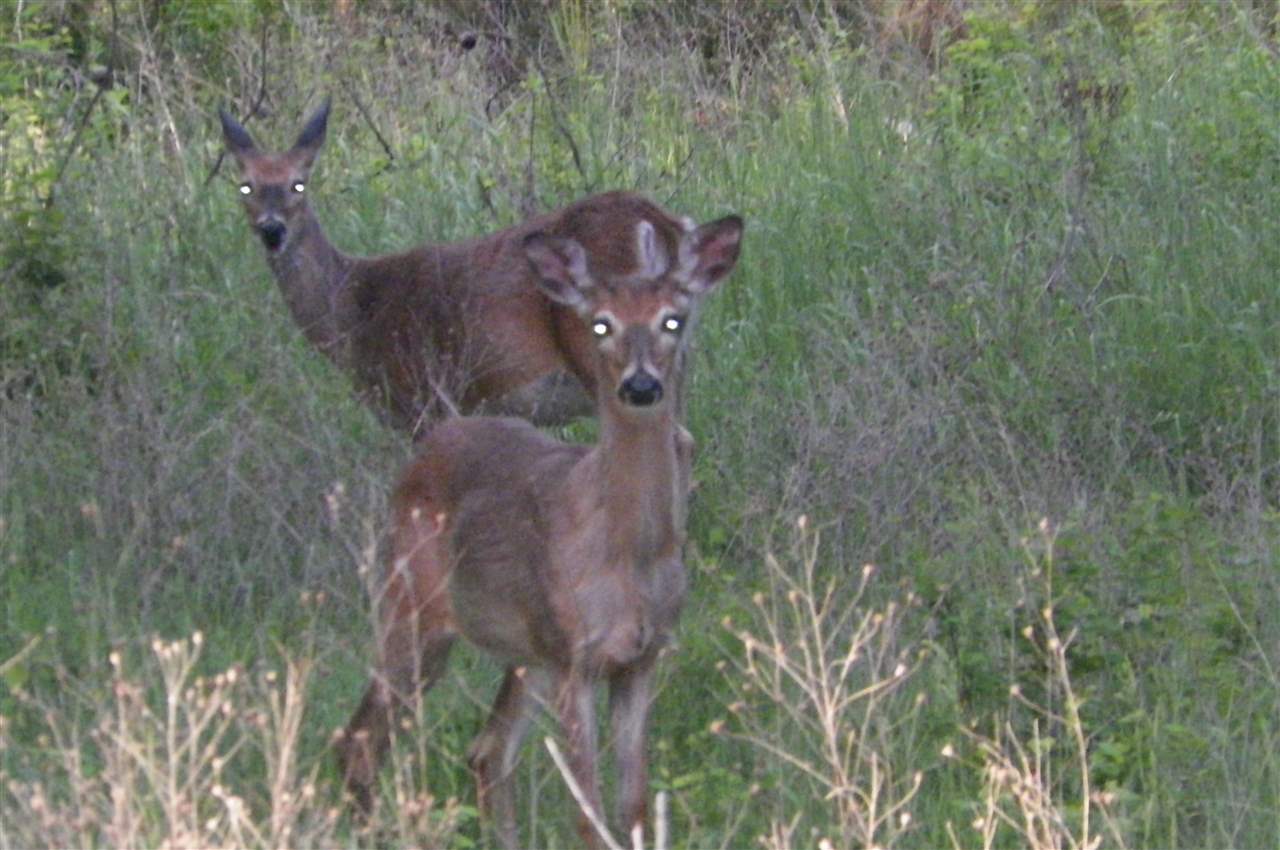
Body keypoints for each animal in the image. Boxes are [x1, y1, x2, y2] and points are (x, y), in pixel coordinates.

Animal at [219, 99, 707, 435]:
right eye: (245, 185)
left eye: (298, 183)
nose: (272, 230)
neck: (354, 309)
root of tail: (663, 224)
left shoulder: (423, 400)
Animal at [334, 212, 744, 849]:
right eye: (600, 323)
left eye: (672, 318)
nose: (641, 385)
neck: (627, 556)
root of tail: (431, 444)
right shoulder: (576, 655)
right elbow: (587, 812)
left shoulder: (640, 659)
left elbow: (632, 806)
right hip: (411, 608)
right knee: (360, 739)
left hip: (527, 651)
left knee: (486, 749)